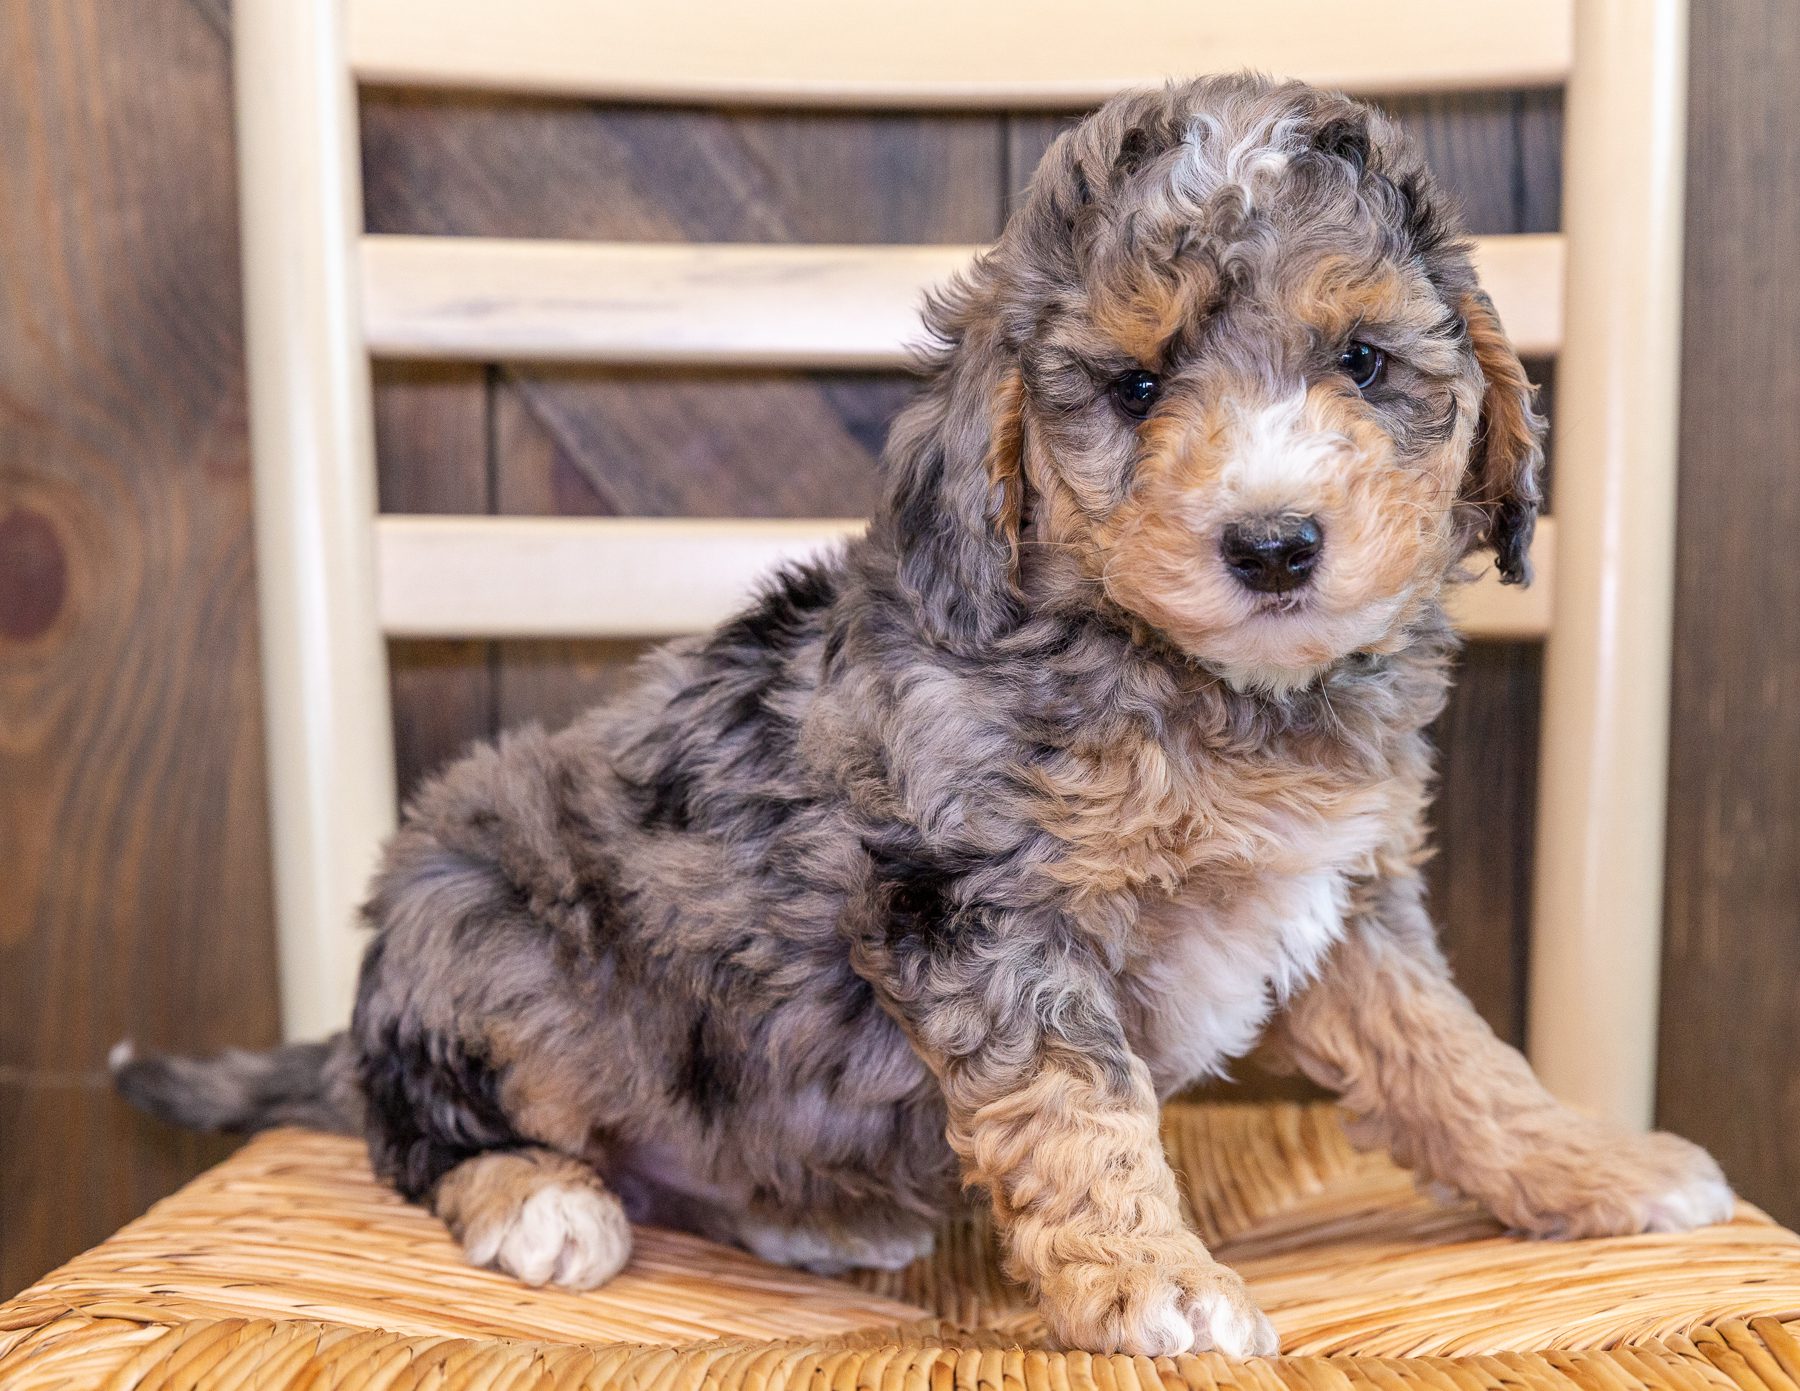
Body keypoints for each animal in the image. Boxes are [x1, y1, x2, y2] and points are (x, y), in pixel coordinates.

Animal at [119, 76, 1735, 1353]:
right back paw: (540, 1200)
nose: (1273, 542)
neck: (1191, 683)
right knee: (418, 1124)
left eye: (1363, 361)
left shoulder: (1349, 896)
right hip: (487, 932)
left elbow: (1453, 1057)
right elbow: (1081, 1107)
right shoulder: (979, 906)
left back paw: (808, 1213)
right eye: (1135, 387)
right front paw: (1159, 1278)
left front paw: (1590, 1166)